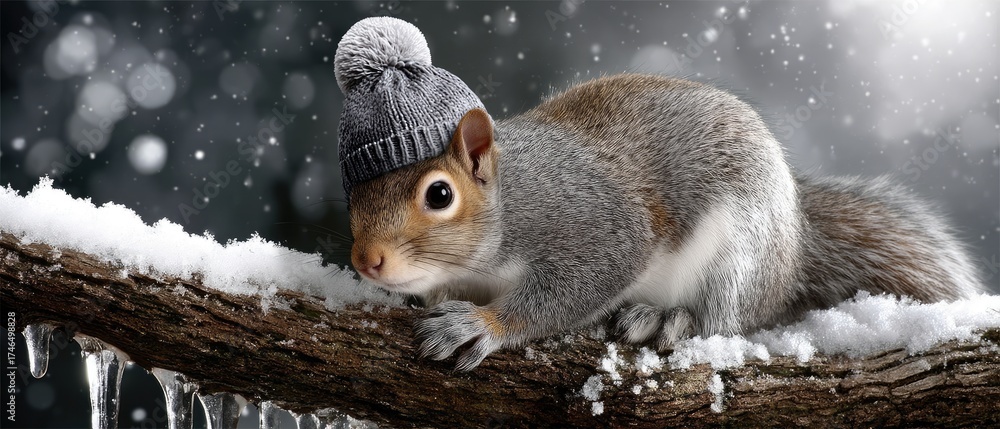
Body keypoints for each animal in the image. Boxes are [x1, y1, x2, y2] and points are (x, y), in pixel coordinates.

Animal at [336, 19, 981, 371]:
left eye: (439, 194)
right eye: (352, 191)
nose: (366, 261)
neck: (511, 200)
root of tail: (795, 248)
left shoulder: (591, 221)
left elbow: (580, 282)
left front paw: (484, 324)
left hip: (739, 256)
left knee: (725, 322)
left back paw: (665, 319)